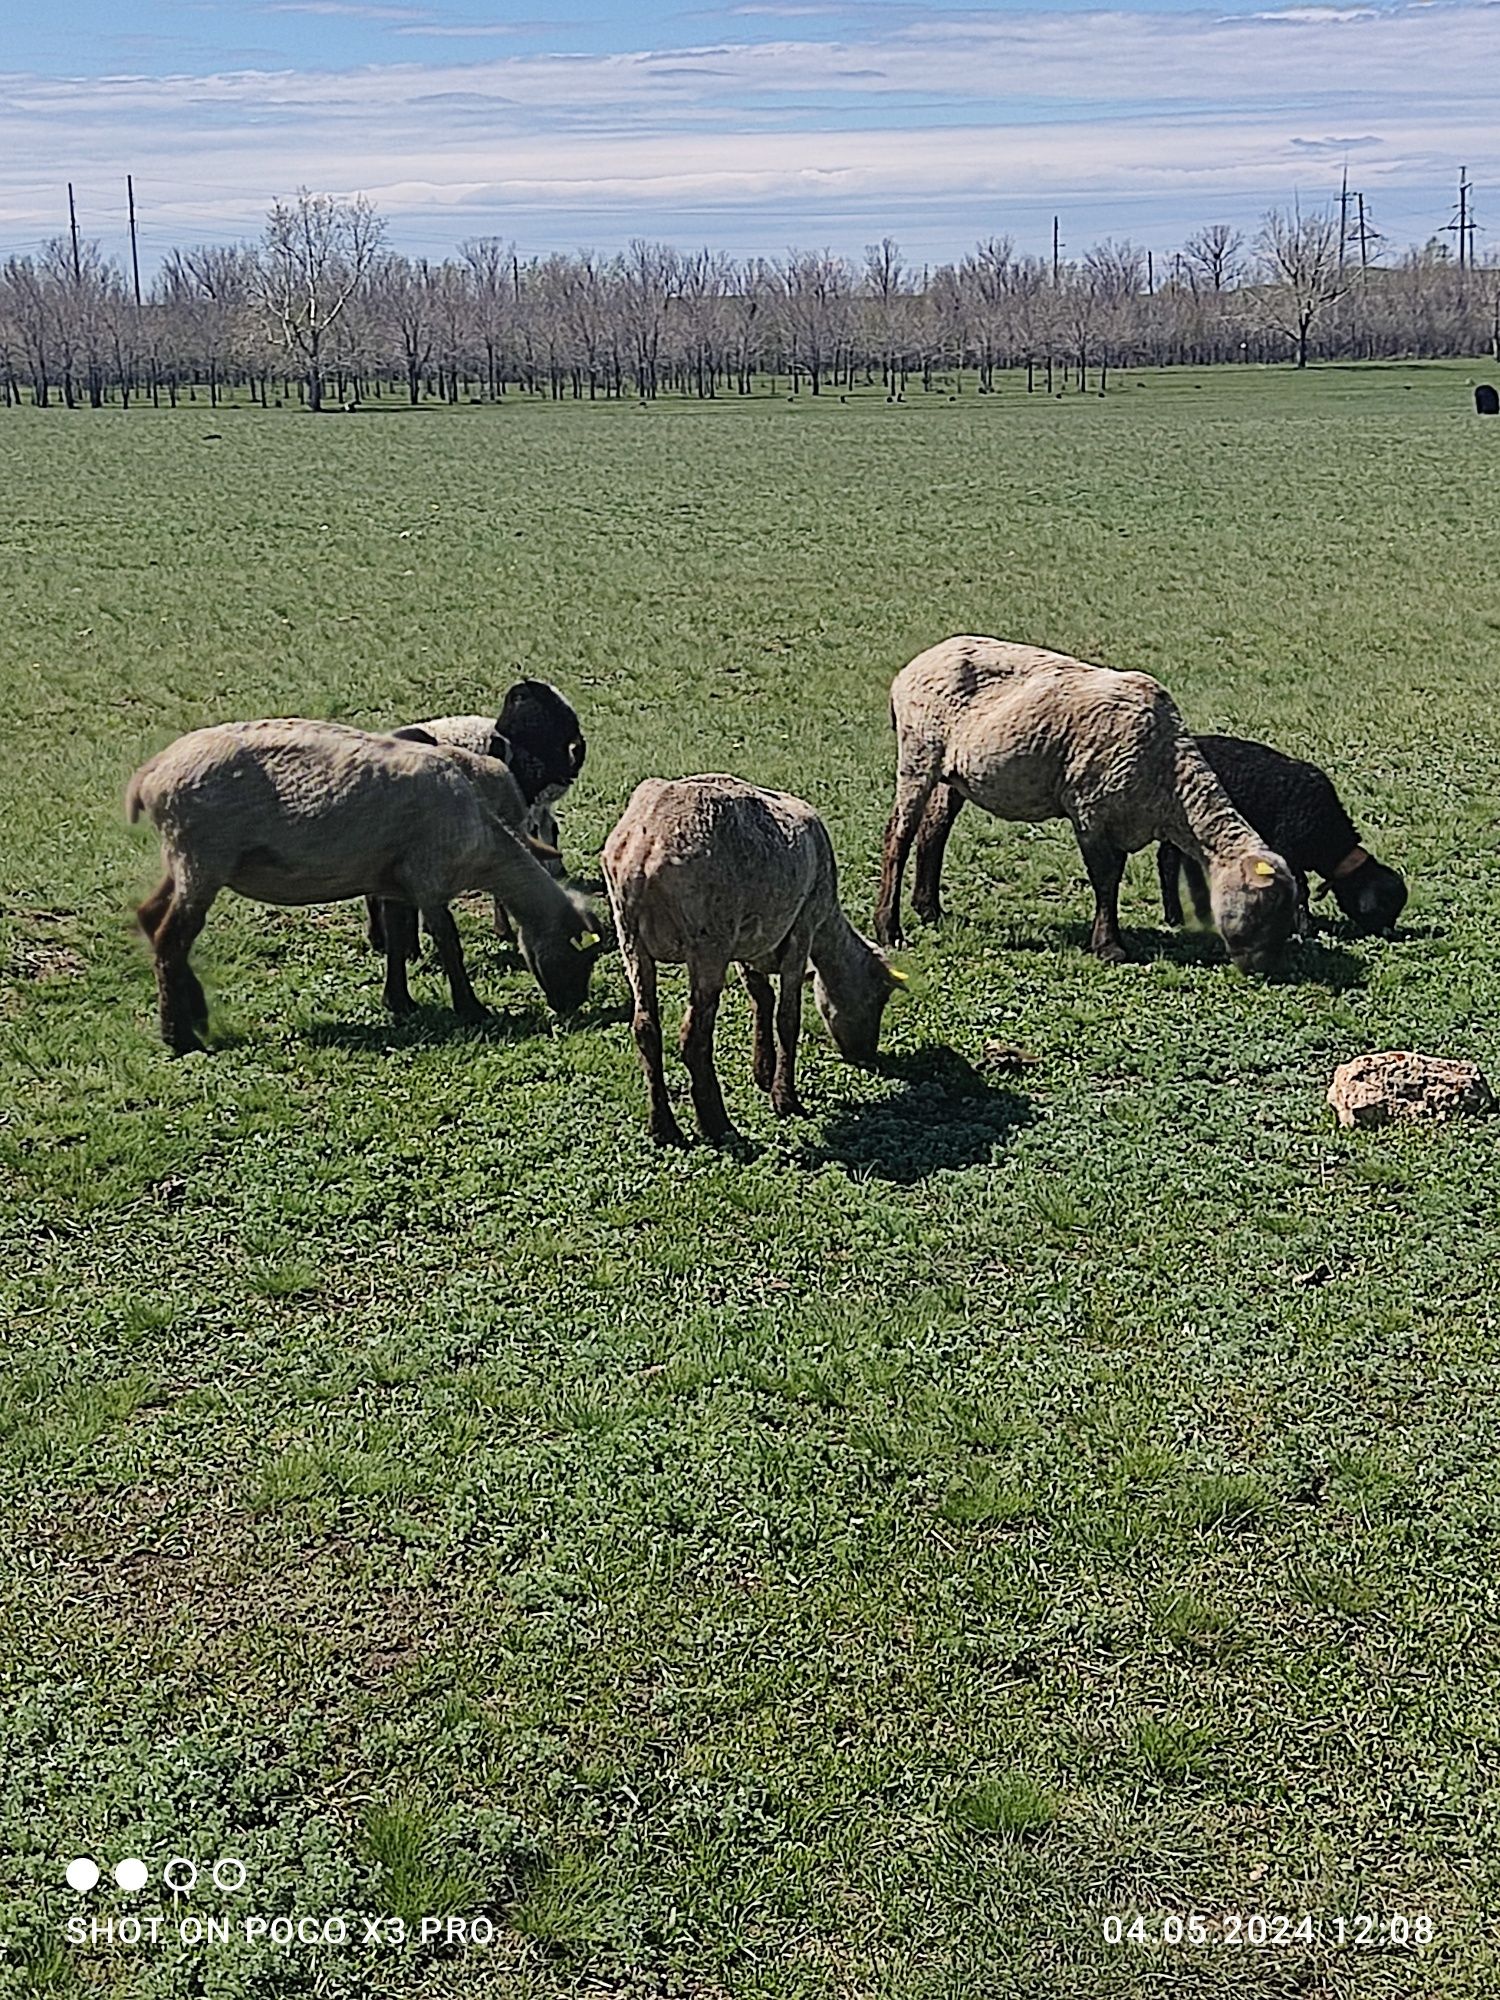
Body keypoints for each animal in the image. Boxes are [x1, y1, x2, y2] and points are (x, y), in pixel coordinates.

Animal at [126, 716, 604, 1056]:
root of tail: (150, 775)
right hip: (202, 858)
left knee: (151, 919)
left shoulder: (393, 879)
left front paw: (400, 1001)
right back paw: (180, 1037)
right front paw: (471, 1008)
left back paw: (194, 1016)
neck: (486, 844)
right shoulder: (428, 877)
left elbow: (395, 938)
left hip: (183, 860)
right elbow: (448, 943)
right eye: (581, 956)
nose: (571, 1005)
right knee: (171, 938)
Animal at [600, 772, 904, 1152]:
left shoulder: (749, 944)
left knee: (645, 1028)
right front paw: (786, 1099)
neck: (827, 927)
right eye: (877, 998)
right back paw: (717, 1124)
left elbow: (762, 998)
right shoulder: (802, 926)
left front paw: (763, 1071)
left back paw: (664, 1128)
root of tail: (646, 846)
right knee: (694, 1037)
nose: (866, 1056)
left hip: (629, 933)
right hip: (709, 938)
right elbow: (787, 1017)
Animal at [880, 632, 1304, 976]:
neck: (1170, 784)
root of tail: (910, 669)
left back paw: (929, 910)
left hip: (953, 772)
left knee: (934, 832)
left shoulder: (1121, 816)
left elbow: (1112, 876)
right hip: (919, 750)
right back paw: (889, 929)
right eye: (1265, 911)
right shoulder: (1090, 809)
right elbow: (1106, 878)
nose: (1263, 970)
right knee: (898, 836)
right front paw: (1109, 947)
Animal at [1160, 740, 1408, 940]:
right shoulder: (1287, 850)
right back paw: (1175, 916)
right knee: (1168, 862)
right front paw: (1302, 929)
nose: (1389, 934)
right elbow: (1299, 890)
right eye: (1383, 907)